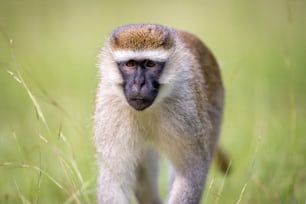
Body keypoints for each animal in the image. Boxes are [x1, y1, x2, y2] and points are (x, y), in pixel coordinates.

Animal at [95, 24, 227, 204]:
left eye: (150, 64)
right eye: (130, 64)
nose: (139, 83)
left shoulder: (186, 109)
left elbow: (191, 172)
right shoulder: (110, 106)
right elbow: (113, 180)